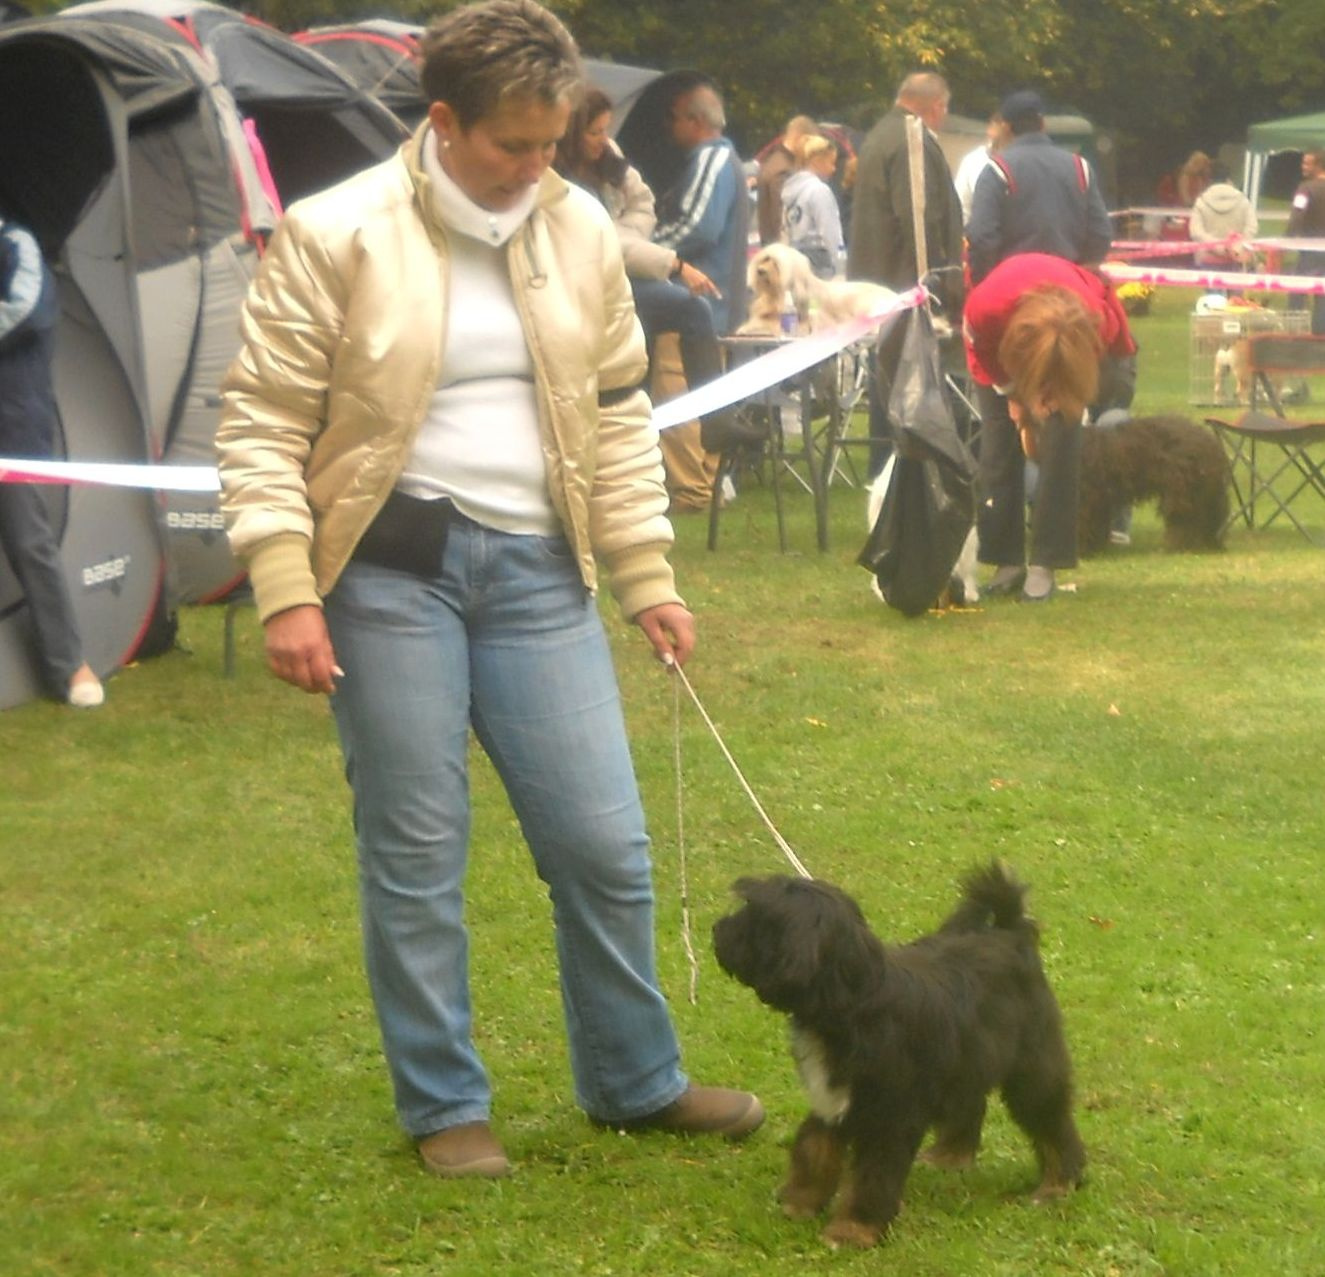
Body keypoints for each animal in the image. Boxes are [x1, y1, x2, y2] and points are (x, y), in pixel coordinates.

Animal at [710, 868, 1081, 1245]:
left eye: (755, 918)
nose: (717, 929)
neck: (854, 1005)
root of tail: (1010, 934)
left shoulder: (890, 1118)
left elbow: (872, 1176)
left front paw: (853, 1229)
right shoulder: (832, 1102)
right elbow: (814, 1149)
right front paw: (800, 1202)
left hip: (1031, 1065)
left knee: (1051, 1122)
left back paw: (1059, 1183)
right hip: (968, 1059)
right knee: (971, 1105)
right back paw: (951, 1157)